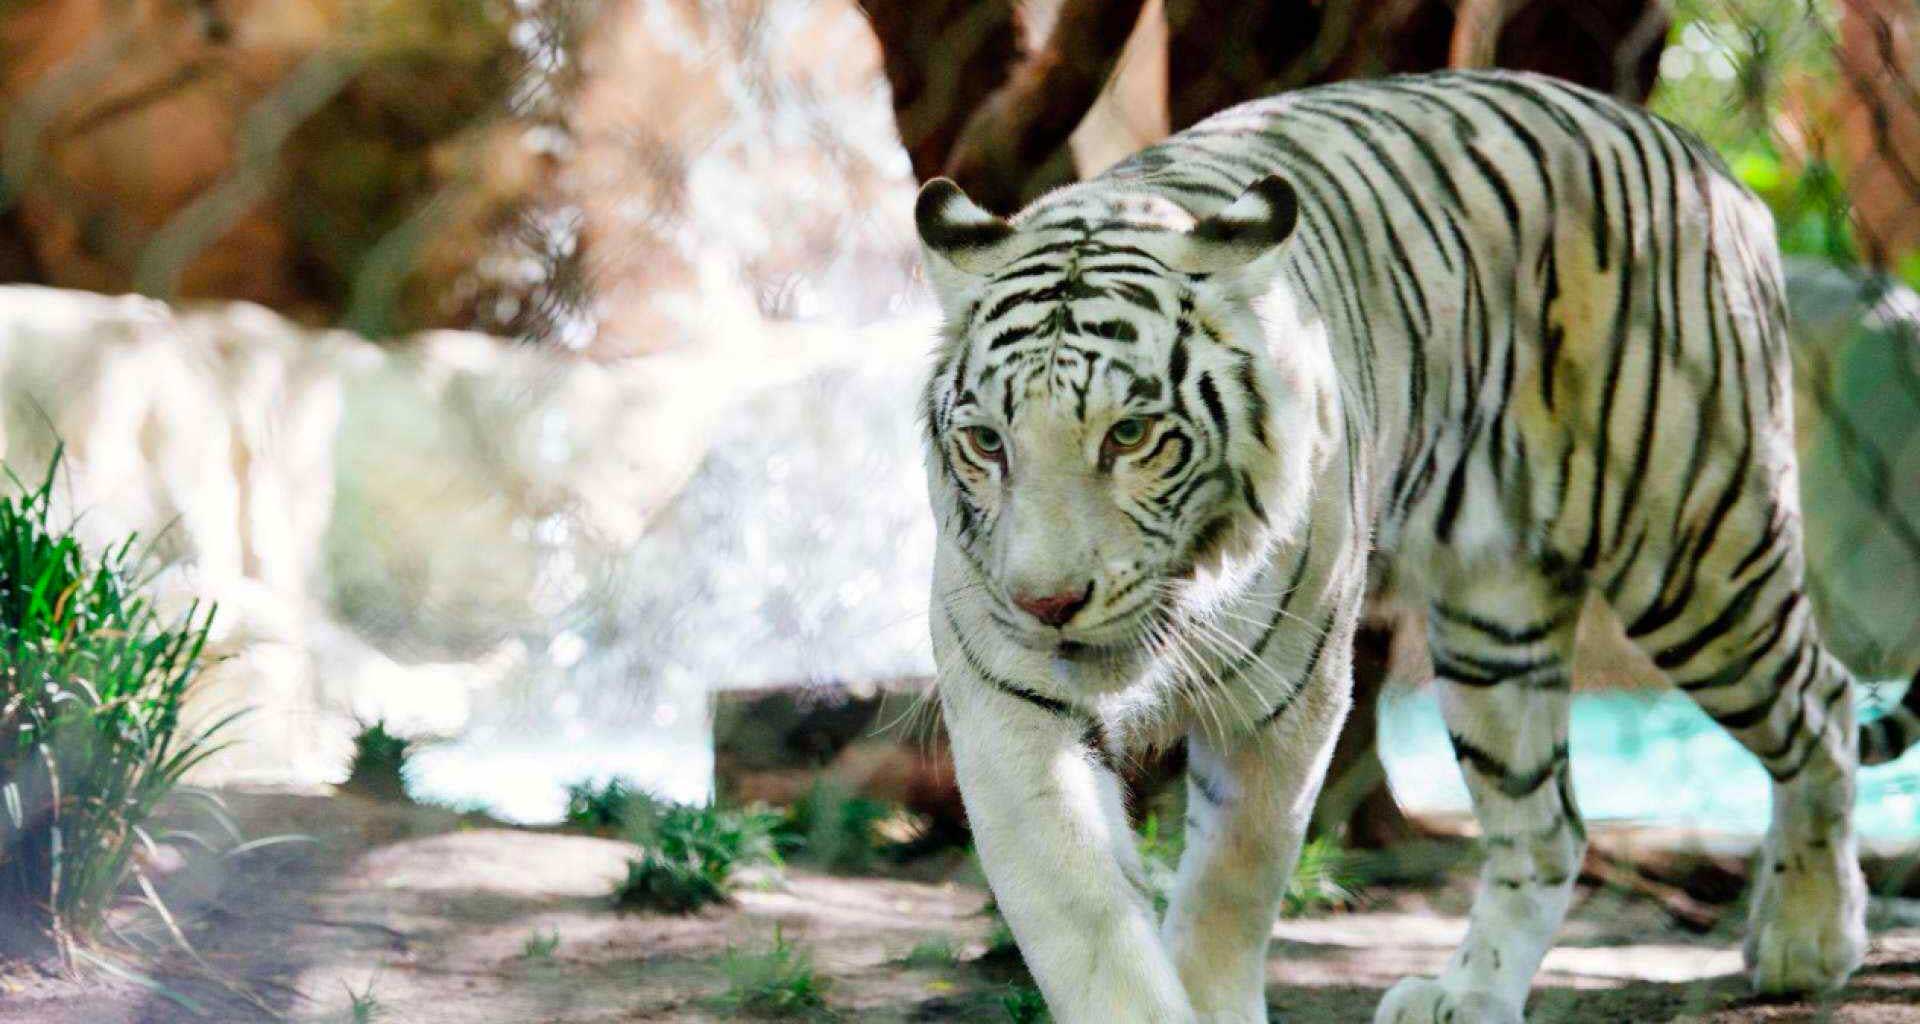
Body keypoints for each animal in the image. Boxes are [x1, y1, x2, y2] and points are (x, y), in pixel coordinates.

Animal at [914, 69, 1920, 1024]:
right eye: (988, 443)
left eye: (1129, 435)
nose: (1047, 604)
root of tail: (1698, 155)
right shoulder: (1011, 701)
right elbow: (1083, 915)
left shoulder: (1288, 697)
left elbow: (1233, 885)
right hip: (1497, 629)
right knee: (1548, 827)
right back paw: (1470, 994)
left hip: (1696, 552)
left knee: (1824, 707)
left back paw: (1806, 941)